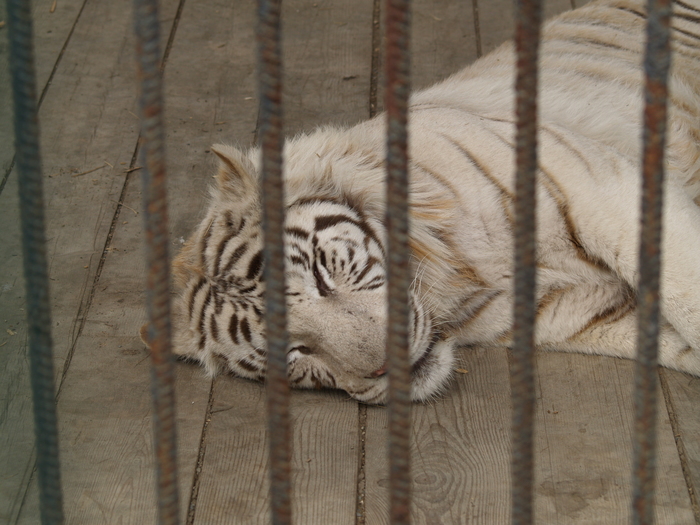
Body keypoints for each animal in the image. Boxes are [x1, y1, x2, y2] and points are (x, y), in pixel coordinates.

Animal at [141, 0, 700, 404]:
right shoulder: (587, 312)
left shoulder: (603, 188)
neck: (457, 283)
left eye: (322, 276)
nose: (386, 365)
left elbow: (685, 293)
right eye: (293, 351)